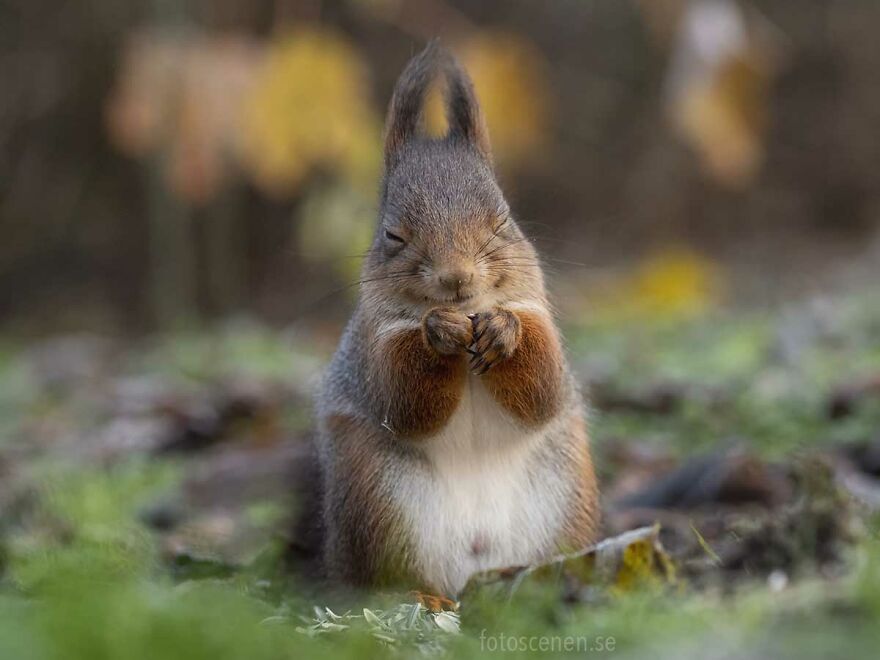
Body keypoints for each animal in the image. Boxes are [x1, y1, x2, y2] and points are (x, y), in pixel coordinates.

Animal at [300, 43, 599, 598]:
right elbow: (405, 401)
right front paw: (439, 332)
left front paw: (504, 330)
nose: (456, 278)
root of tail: (473, 569)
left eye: (503, 220)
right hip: (375, 499)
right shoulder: (373, 347)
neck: (468, 308)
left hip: (566, 494)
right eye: (392, 235)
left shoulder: (537, 311)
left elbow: (544, 388)